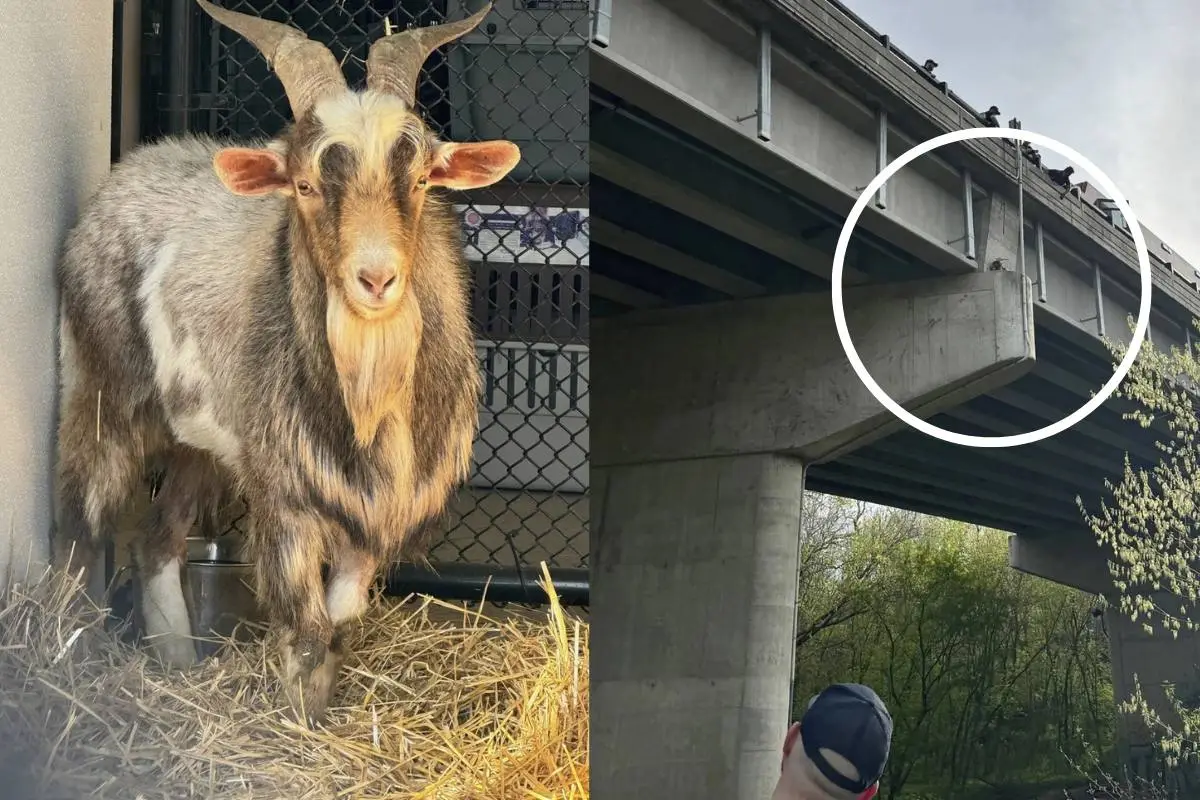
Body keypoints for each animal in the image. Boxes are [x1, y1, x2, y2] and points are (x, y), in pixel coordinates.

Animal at [54, 0, 518, 724]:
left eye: (419, 180)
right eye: (303, 185)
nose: (376, 279)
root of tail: (134, 166)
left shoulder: (371, 516)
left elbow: (340, 620)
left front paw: (319, 710)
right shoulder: (286, 495)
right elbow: (306, 627)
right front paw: (300, 718)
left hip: (204, 443)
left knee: (158, 537)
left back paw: (177, 659)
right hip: (102, 389)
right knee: (80, 513)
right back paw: (72, 648)